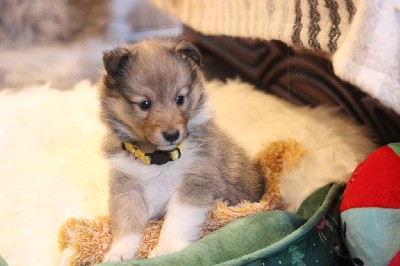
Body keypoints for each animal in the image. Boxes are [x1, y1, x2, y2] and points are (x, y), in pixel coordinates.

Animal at [98, 37, 264, 262]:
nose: (172, 134)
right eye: (144, 104)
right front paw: (120, 252)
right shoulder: (127, 187)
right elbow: (127, 222)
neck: (158, 158)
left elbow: (177, 220)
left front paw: (166, 249)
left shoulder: (194, 182)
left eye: (180, 99)